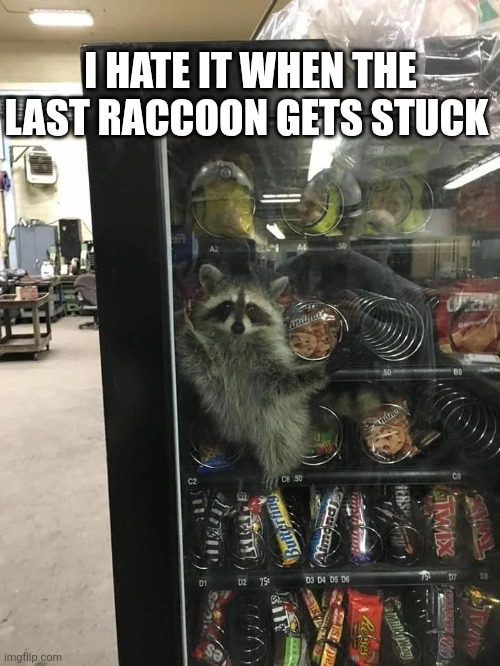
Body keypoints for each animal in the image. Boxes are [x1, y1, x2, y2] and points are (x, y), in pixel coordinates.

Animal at [175, 263, 329, 488]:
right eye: (227, 305)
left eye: (251, 308)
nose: (238, 327)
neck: (239, 340)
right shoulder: (215, 362)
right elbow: (200, 360)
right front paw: (184, 325)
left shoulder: (268, 360)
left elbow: (284, 381)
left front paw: (319, 370)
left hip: (284, 420)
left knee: (281, 439)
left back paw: (275, 467)